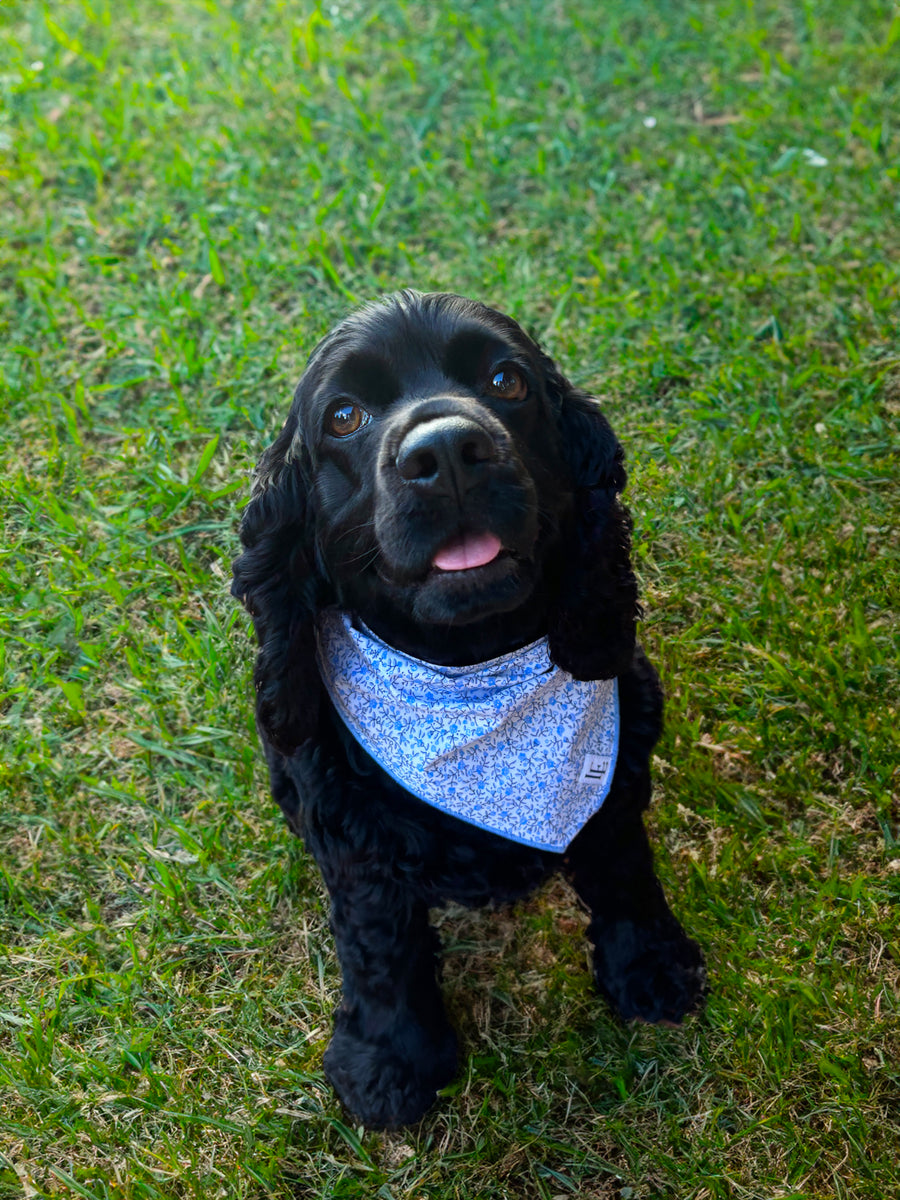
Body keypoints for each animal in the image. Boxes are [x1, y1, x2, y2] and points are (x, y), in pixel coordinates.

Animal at [229, 288, 710, 1123]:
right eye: (344, 416)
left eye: (505, 380)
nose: (448, 451)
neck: (470, 674)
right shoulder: (352, 837)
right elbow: (379, 943)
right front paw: (389, 1060)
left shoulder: (614, 774)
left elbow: (623, 867)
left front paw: (652, 966)